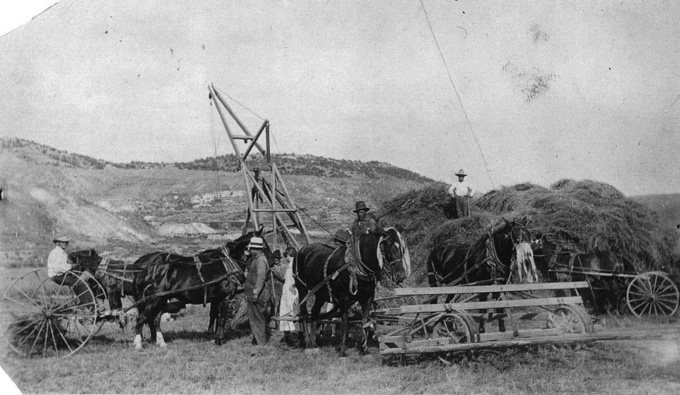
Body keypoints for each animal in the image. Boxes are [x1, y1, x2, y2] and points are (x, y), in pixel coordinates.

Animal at [130, 232, 268, 350]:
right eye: (264, 245)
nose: (271, 261)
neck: (228, 263)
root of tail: (146, 270)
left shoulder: (216, 299)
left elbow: (214, 316)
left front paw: (212, 336)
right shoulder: (224, 299)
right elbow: (221, 319)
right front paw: (219, 340)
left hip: (161, 300)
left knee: (155, 319)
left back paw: (160, 342)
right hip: (154, 300)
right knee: (142, 318)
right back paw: (138, 344)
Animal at [294, 227, 410, 358]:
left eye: (401, 249)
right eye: (388, 247)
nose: (401, 275)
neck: (358, 266)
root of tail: (302, 250)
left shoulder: (368, 297)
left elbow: (365, 321)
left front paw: (364, 350)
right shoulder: (344, 298)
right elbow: (344, 322)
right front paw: (342, 351)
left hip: (321, 294)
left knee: (314, 313)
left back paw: (314, 343)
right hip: (302, 288)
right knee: (304, 313)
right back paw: (308, 344)